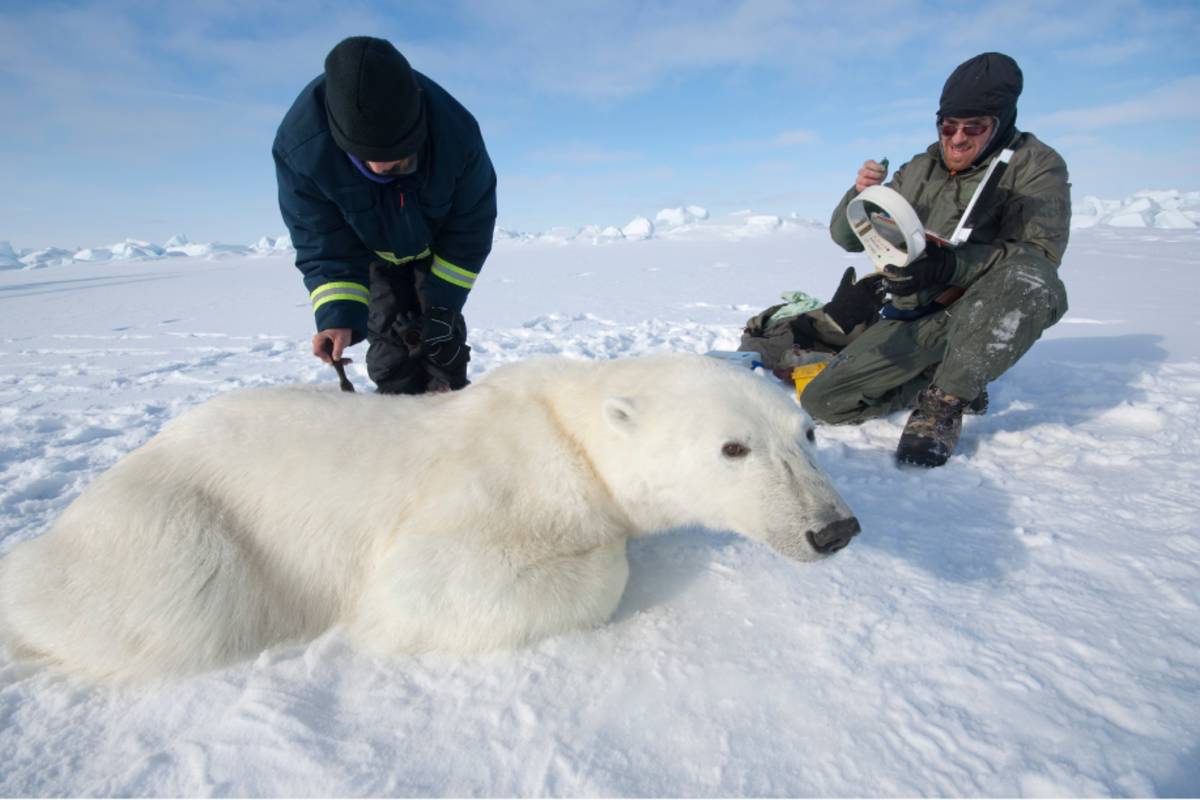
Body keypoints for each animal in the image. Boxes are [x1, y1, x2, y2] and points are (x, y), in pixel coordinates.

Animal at [0, 353, 859, 681]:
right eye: (733, 448)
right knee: (176, 608)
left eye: (805, 435)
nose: (833, 528)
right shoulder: (495, 489)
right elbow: (425, 587)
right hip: (178, 528)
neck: (570, 433)